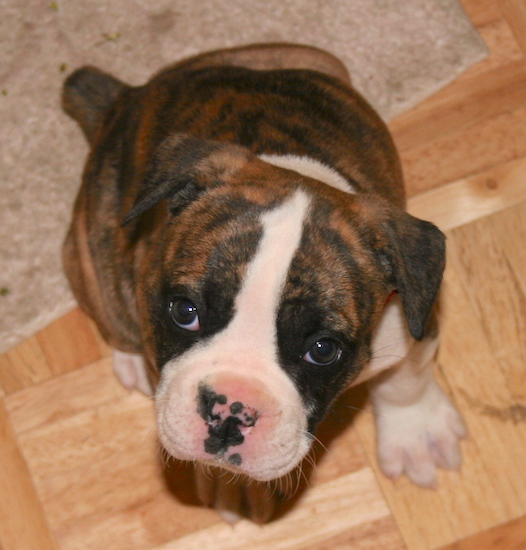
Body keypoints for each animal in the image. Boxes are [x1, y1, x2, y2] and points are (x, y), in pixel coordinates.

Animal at [63, 43, 470, 528]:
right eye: (184, 311)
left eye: (323, 350)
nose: (229, 412)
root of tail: (127, 97)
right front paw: (233, 486)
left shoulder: (410, 320)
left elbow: (407, 379)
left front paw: (417, 433)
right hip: (90, 247)